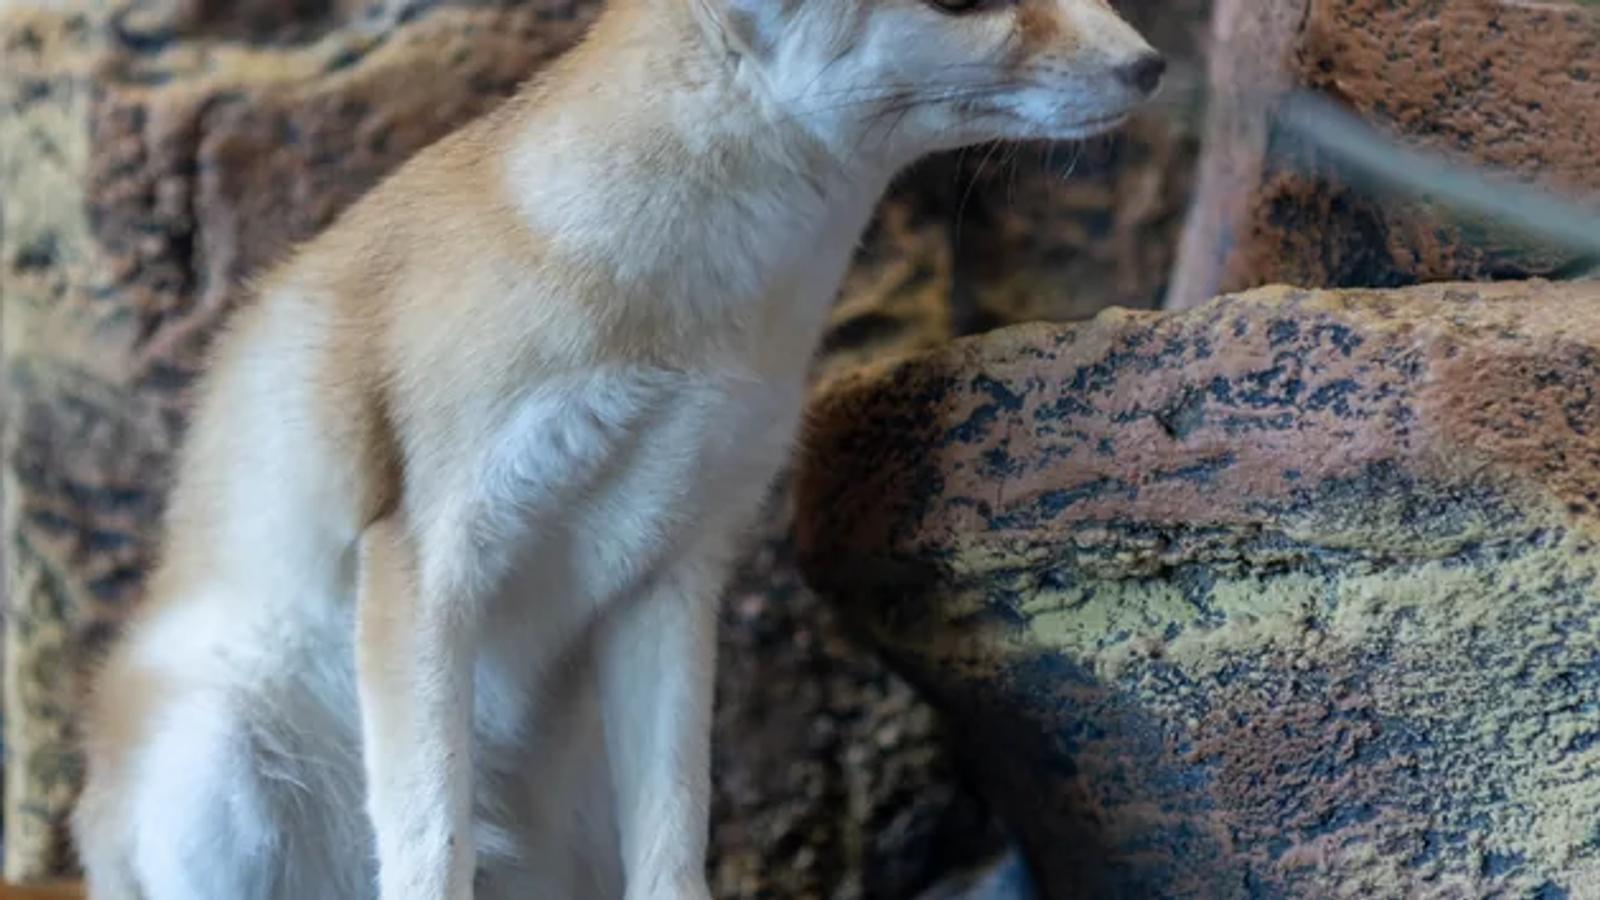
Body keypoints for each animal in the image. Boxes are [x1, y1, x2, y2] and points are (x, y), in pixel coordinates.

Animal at [69, 0, 1162, 896]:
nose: (1150, 63)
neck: (694, 316)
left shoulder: (674, 569)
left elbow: (675, 847)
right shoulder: (431, 554)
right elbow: (427, 847)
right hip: (221, 753)